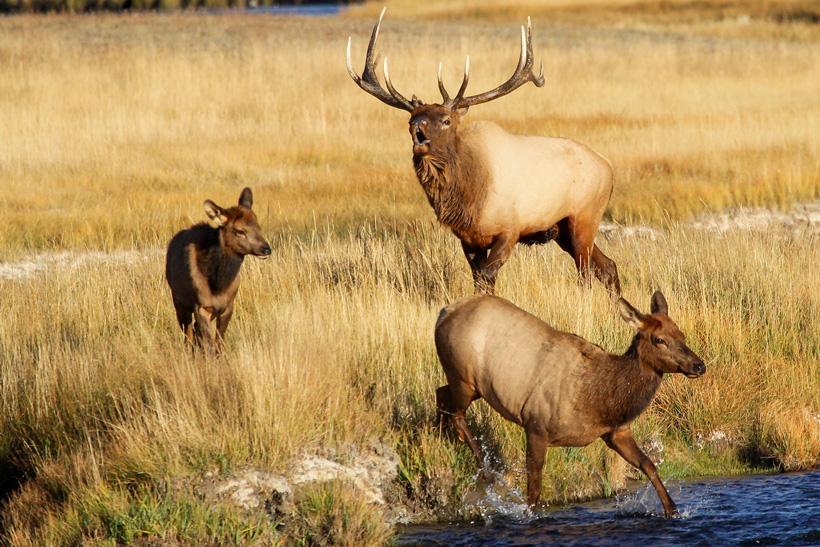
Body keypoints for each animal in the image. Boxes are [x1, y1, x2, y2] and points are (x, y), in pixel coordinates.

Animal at [165, 187, 271, 352]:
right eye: (239, 230)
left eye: (258, 226)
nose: (266, 249)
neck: (218, 285)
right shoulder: (201, 306)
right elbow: (208, 345)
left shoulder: (227, 305)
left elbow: (219, 342)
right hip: (178, 300)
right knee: (188, 335)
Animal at [347, 9, 620, 295]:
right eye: (411, 119)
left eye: (446, 120)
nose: (419, 130)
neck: (469, 196)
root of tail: (609, 167)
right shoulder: (468, 239)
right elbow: (478, 279)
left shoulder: (510, 229)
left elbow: (488, 276)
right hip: (563, 229)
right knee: (608, 267)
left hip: (585, 217)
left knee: (586, 273)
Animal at [434, 291, 706, 517]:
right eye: (659, 339)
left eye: (681, 335)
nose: (699, 365)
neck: (602, 399)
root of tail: (443, 312)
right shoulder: (536, 425)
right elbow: (534, 488)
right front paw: (528, 515)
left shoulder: (616, 431)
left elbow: (648, 464)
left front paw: (672, 510)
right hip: (462, 375)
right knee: (456, 413)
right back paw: (487, 467)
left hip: (473, 387)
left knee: (440, 394)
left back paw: (438, 437)